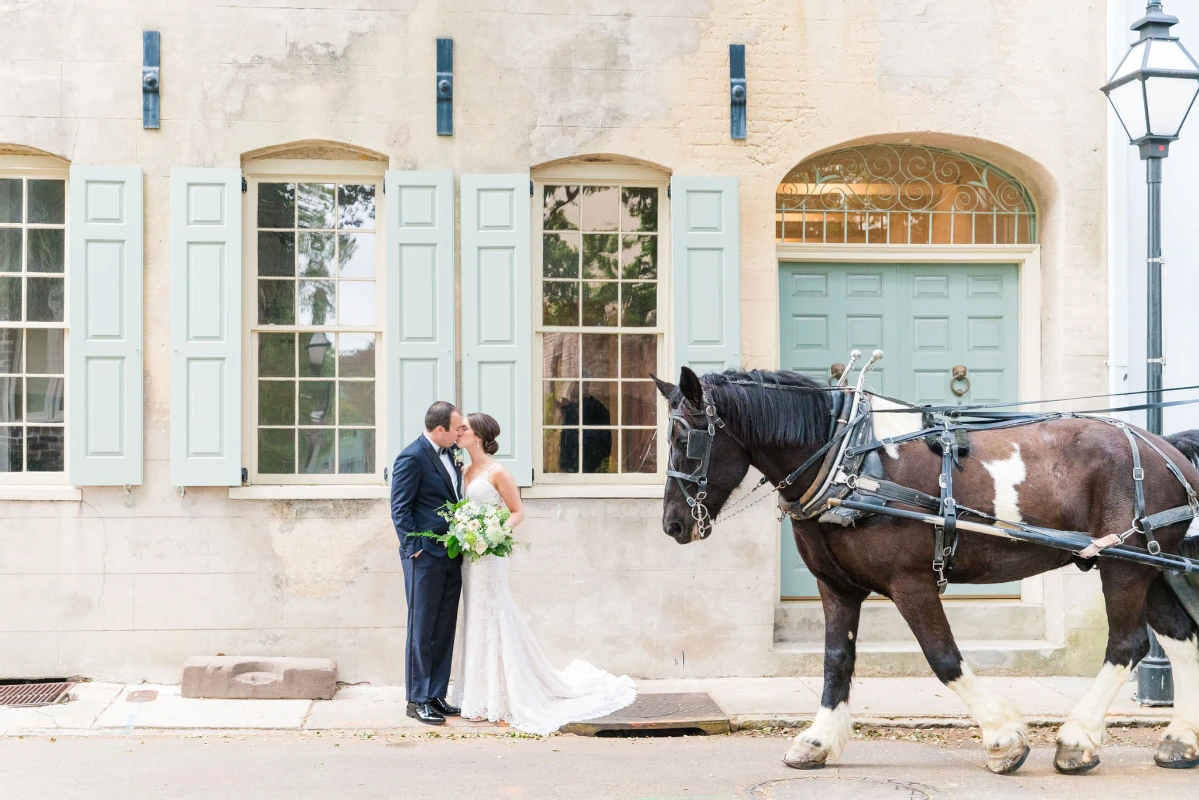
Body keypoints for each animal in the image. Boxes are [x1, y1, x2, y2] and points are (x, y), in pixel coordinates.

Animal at [657, 367, 1199, 777]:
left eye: (685, 438)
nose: (672, 525)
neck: (847, 460)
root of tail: (1165, 445)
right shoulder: (835, 587)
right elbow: (836, 662)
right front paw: (817, 741)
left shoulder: (910, 582)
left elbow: (943, 658)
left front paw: (1003, 739)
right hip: (1149, 565)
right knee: (1180, 638)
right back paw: (1179, 740)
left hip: (1123, 566)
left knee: (1127, 645)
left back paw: (1076, 740)